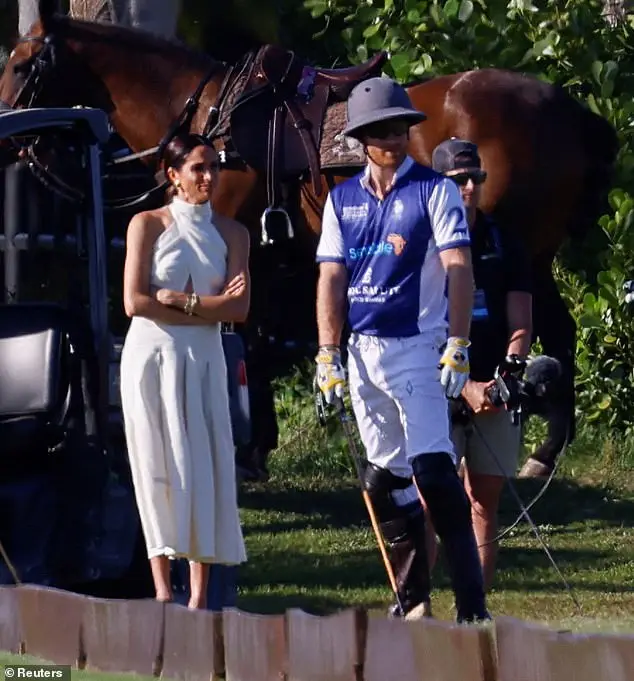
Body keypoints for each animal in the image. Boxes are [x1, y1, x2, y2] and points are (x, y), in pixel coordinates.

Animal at [0, 3, 616, 478]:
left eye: (23, 63)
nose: (7, 132)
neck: (209, 126)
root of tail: (568, 109)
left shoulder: (238, 244)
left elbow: (246, 339)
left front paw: (250, 451)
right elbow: (255, 341)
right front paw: (260, 442)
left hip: (524, 251)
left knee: (554, 332)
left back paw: (542, 453)